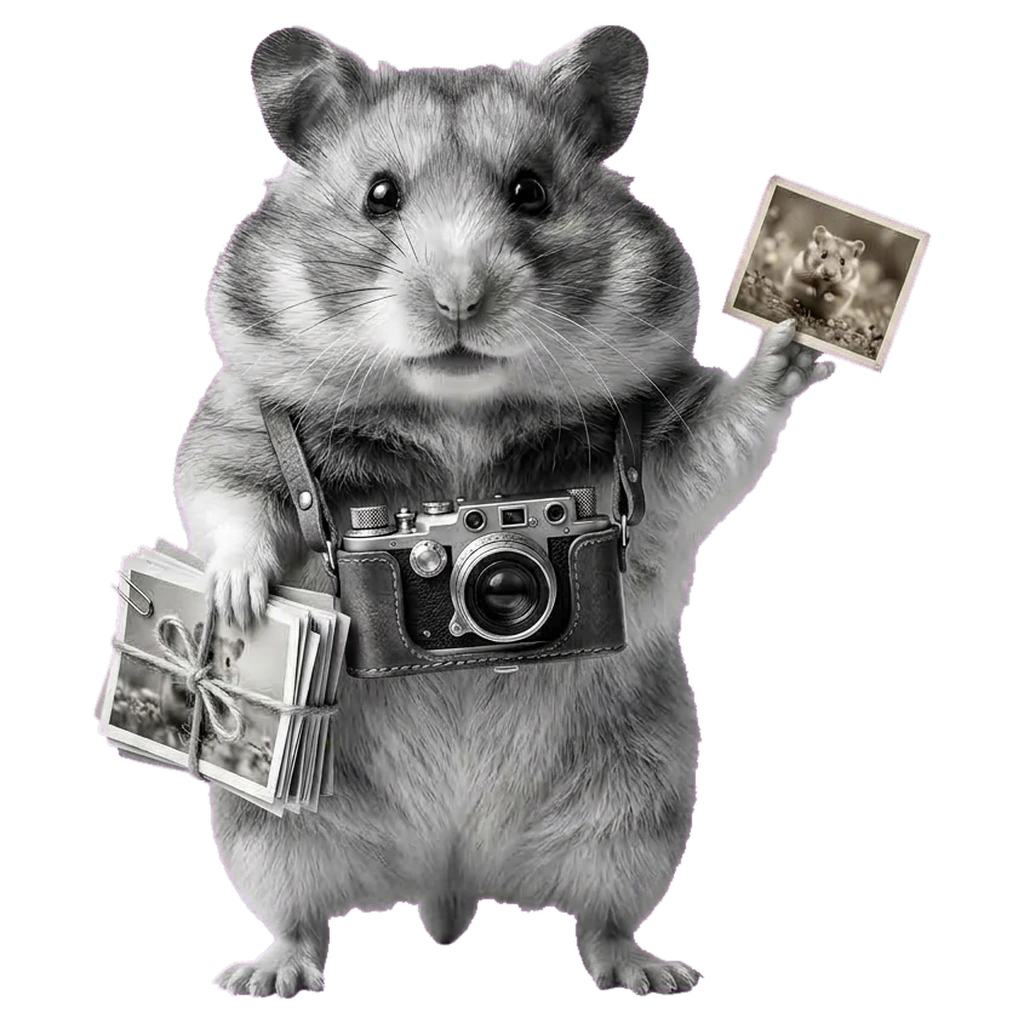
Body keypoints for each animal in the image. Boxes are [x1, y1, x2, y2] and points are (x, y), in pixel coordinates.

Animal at [178, 24, 833, 998]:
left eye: (531, 191)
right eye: (379, 195)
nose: (460, 300)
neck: (458, 416)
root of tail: (450, 874)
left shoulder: (659, 447)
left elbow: (720, 434)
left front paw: (791, 342)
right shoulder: (238, 426)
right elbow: (225, 500)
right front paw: (238, 599)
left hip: (638, 810)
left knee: (603, 917)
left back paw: (646, 972)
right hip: (272, 830)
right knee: (300, 914)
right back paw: (270, 974)